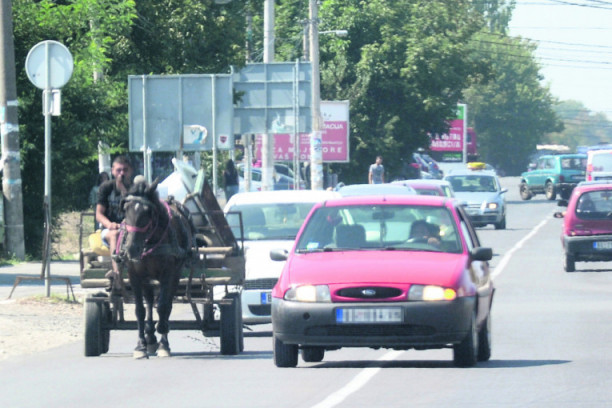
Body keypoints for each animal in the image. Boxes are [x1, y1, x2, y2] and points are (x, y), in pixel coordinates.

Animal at [116, 179, 195, 359]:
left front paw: (164, 343)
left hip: (175, 274)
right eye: (125, 209)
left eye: (148, 212)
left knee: (166, 304)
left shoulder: (169, 273)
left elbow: (163, 306)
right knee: (150, 301)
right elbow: (140, 310)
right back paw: (150, 337)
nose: (131, 249)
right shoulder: (134, 275)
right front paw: (140, 346)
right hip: (147, 278)